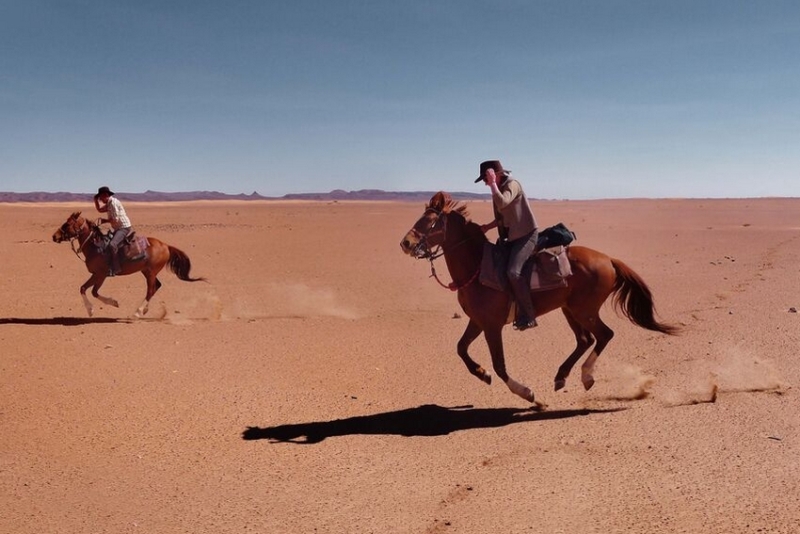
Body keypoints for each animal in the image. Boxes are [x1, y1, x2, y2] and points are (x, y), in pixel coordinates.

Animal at [52, 210, 205, 318]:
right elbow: (88, 290)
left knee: (151, 289)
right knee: (157, 286)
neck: (96, 246)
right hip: (146, 271)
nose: (54, 236)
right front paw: (110, 304)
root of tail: (166, 246)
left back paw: (137, 312)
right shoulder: (98, 275)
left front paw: (93, 309)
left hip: (150, 272)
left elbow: (89, 290)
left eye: (67, 224)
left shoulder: (100, 274)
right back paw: (144, 310)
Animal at [398, 191, 676, 404]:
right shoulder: (477, 321)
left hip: (584, 310)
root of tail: (609, 259)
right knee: (585, 340)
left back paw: (585, 376)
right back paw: (561, 376)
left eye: (430, 222)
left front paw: (528, 394)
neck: (478, 268)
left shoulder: (492, 326)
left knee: (604, 335)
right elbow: (461, 349)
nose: (406, 243)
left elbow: (499, 365)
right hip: (569, 309)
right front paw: (481, 373)